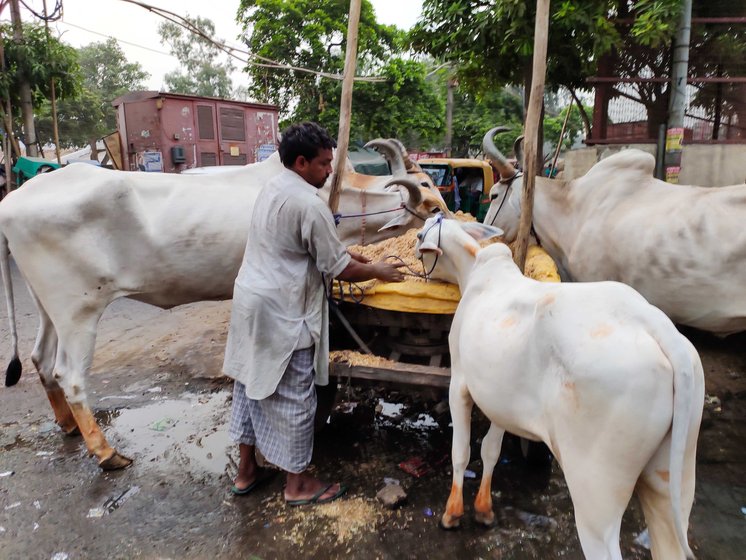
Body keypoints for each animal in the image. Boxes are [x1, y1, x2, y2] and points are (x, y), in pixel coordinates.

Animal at [0, 151, 448, 470]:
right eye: (428, 190)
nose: (446, 214)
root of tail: (12, 200)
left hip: (49, 308)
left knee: (41, 360)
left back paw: (68, 427)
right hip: (79, 311)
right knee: (69, 375)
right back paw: (106, 453)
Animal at [412, 217, 704, 560]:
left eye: (420, 234)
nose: (415, 254)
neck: (474, 270)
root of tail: (655, 325)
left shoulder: (459, 383)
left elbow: (461, 451)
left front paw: (452, 514)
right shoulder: (499, 399)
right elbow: (491, 450)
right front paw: (484, 510)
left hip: (595, 493)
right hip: (673, 482)